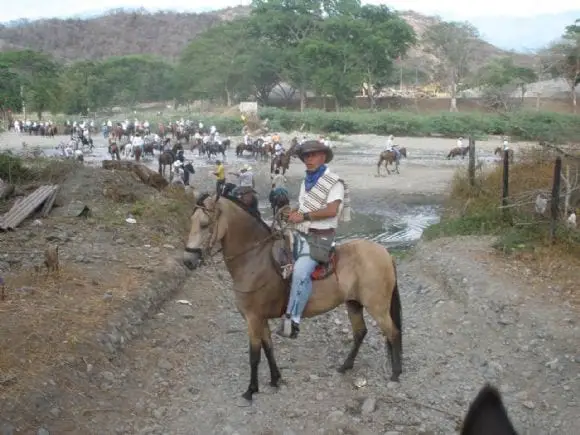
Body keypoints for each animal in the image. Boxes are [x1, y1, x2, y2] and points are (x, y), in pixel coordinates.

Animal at [184, 192, 402, 404]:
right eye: (191, 221)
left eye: (205, 224)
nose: (188, 261)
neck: (255, 259)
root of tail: (385, 253)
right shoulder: (261, 319)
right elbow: (268, 347)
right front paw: (275, 379)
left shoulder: (253, 318)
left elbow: (254, 355)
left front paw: (251, 390)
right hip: (354, 304)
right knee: (360, 332)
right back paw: (345, 366)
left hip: (377, 307)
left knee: (393, 332)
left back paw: (395, 374)